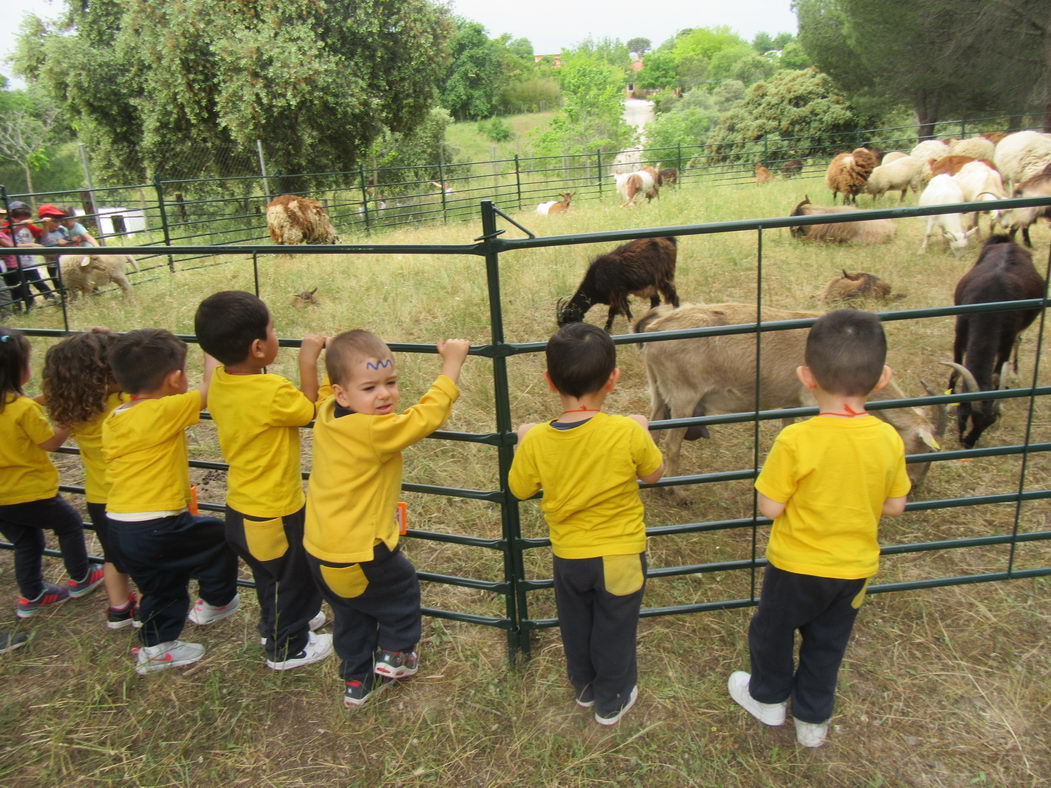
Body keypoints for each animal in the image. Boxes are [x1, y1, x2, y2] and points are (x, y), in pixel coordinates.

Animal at [634, 302, 950, 493]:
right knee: (673, 443)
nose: (916, 485)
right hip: (684, 395)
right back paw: (677, 491)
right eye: (924, 450)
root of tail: (655, 329)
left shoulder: (791, 403)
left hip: (659, 388)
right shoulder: (813, 401)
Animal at [945, 234, 1042, 447]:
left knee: (1019, 342)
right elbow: (956, 367)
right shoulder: (960, 333)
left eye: (989, 424)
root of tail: (1006, 242)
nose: (968, 444)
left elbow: (997, 372)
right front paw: (948, 398)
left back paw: (1015, 372)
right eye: (967, 416)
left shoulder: (1006, 339)